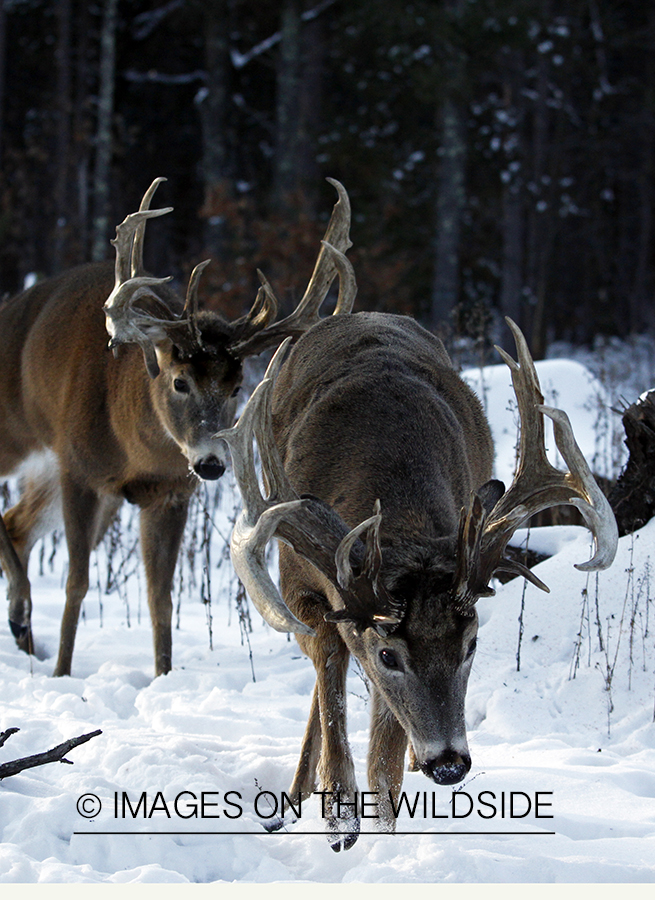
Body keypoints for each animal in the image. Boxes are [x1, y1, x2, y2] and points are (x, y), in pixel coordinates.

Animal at [0, 178, 356, 676]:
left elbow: (160, 596)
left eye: (236, 386)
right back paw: (23, 618)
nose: (210, 464)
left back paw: (23, 629)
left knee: (15, 521)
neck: (130, 444)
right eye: (179, 380)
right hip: (19, 437)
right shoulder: (78, 471)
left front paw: (163, 674)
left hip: (63, 481)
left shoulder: (167, 493)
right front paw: (62, 672)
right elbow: (77, 582)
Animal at [220, 312, 620, 852]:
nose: (449, 763)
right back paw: (301, 789)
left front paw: (382, 834)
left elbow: (384, 760)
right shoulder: (298, 588)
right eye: (388, 654)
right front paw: (338, 819)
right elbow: (331, 668)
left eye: (471, 644)